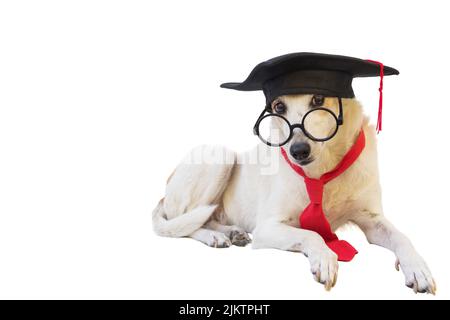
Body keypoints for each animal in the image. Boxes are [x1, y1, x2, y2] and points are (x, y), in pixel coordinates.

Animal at [152, 94, 436, 294]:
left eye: (319, 100)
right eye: (279, 107)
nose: (298, 150)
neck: (324, 171)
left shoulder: (373, 221)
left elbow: (401, 237)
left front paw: (418, 268)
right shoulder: (268, 227)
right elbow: (311, 234)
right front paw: (325, 258)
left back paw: (230, 232)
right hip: (220, 155)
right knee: (185, 222)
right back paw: (214, 236)